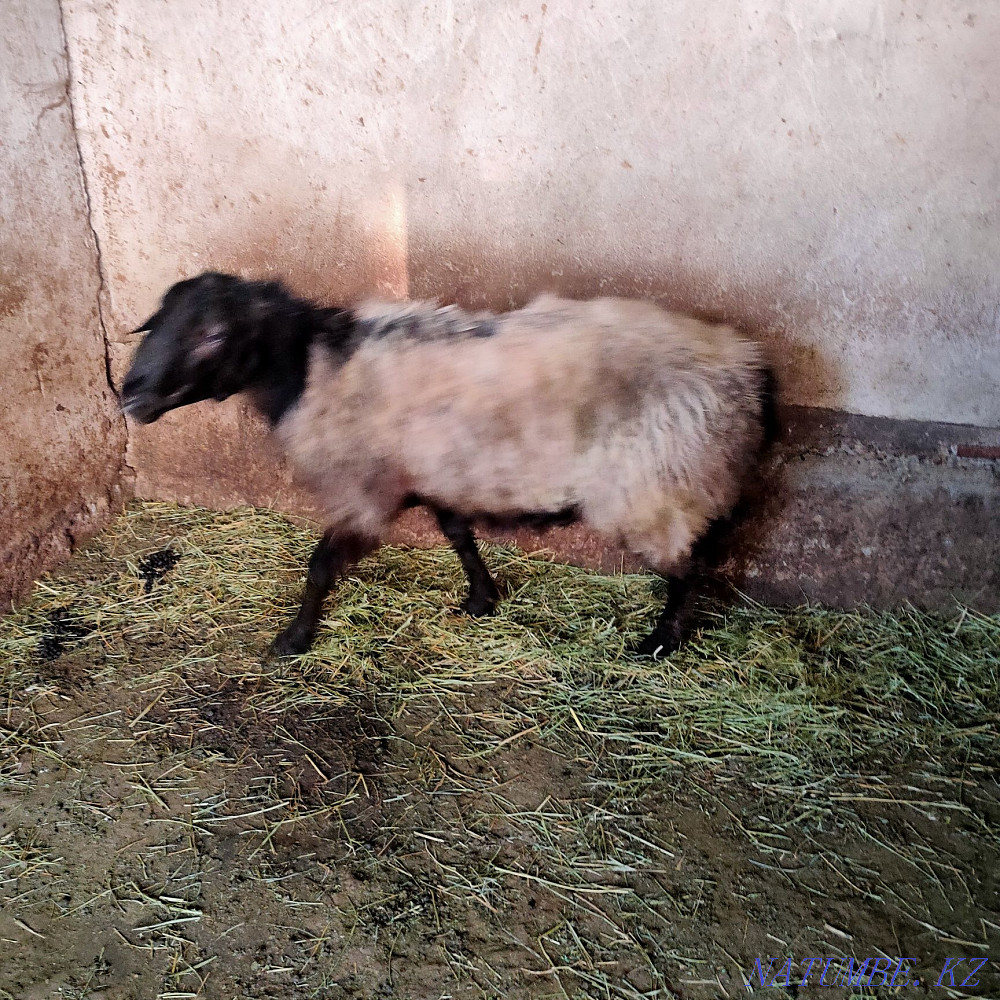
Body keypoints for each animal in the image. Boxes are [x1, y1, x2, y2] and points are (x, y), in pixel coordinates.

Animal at [121, 271, 773, 658]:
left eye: (213, 334)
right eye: (156, 323)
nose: (128, 394)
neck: (312, 370)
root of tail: (747, 368)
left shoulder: (366, 489)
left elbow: (321, 565)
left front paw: (293, 638)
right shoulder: (432, 471)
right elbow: (459, 533)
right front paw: (483, 598)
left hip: (660, 483)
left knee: (690, 567)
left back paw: (661, 641)